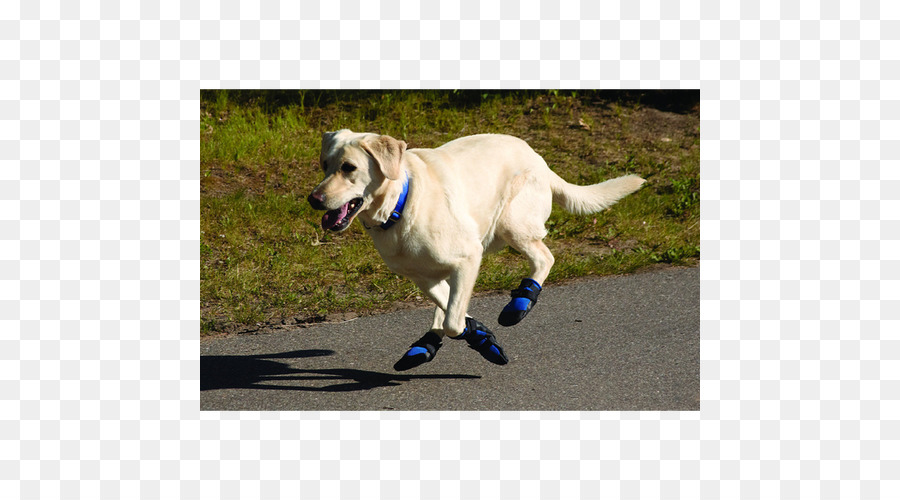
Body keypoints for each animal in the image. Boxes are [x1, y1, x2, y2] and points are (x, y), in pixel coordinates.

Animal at [306, 130, 644, 372]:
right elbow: (451, 312)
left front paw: (481, 336)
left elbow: (455, 322)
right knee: (446, 308)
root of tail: (539, 158)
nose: (313, 199)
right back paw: (425, 345)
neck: (401, 203)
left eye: (349, 168)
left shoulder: (468, 259)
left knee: (544, 258)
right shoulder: (424, 278)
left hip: (512, 223)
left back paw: (520, 303)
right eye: (324, 165)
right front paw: (479, 335)